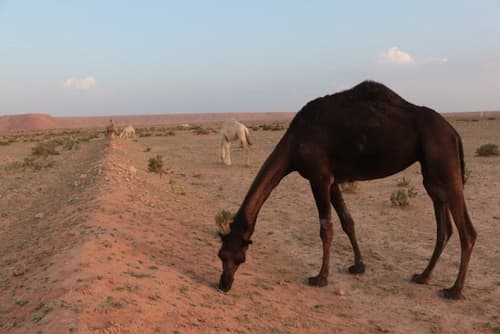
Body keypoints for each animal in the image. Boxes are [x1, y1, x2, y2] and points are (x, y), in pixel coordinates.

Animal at [218, 80, 476, 300]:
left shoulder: (319, 177)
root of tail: (453, 132)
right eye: (221, 255)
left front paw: (320, 277)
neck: (294, 143)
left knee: (467, 231)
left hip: (446, 166)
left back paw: (454, 290)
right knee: (444, 228)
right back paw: (423, 276)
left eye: (239, 258)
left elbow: (326, 227)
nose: (223, 285)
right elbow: (347, 221)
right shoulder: (333, 181)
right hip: (432, 176)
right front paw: (358, 266)